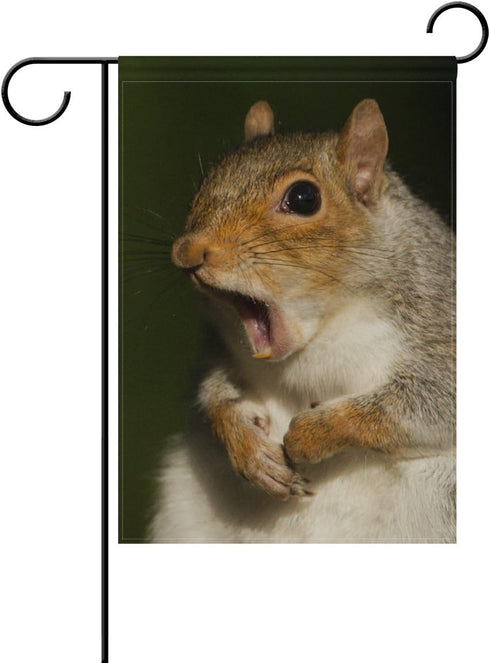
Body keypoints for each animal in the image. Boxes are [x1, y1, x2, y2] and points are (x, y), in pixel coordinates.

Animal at [149, 99, 455, 543]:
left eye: (304, 197)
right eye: (208, 179)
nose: (187, 251)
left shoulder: (441, 326)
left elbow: (426, 405)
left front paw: (311, 434)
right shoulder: (218, 348)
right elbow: (214, 392)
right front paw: (248, 448)